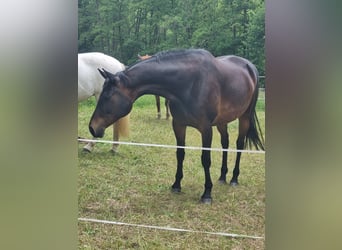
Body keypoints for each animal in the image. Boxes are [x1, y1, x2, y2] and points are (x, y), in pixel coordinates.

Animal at [89, 48, 264, 203]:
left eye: (107, 96)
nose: (92, 127)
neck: (190, 84)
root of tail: (251, 67)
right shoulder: (178, 125)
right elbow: (180, 154)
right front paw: (176, 185)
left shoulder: (206, 129)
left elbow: (205, 159)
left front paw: (207, 193)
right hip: (222, 121)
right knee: (225, 143)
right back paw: (222, 177)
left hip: (245, 116)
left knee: (239, 144)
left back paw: (234, 178)